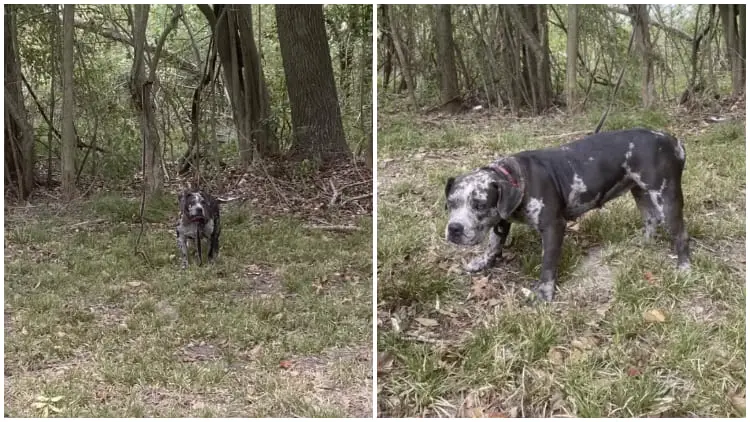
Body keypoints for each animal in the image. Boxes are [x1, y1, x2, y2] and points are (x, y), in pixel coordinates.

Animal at [446, 127, 692, 302]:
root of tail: (673, 141)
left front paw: (544, 293)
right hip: (639, 191)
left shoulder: (553, 227)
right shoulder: (502, 219)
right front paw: (483, 262)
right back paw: (644, 243)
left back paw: (684, 266)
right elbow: (493, 243)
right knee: (651, 218)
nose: (454, 228)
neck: (516, 178)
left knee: (680, 233)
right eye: (449, 204)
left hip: (667, 197)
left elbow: (547, 263)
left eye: (479, 205)